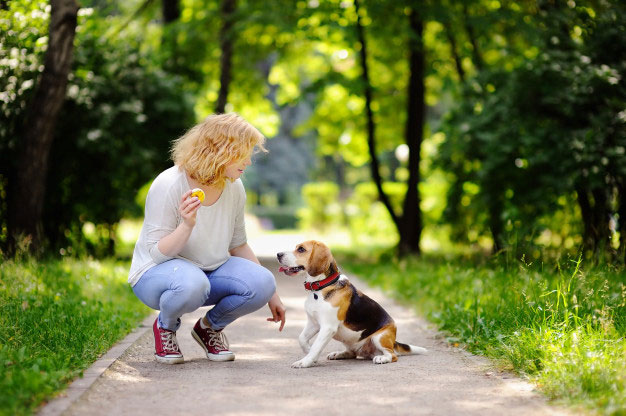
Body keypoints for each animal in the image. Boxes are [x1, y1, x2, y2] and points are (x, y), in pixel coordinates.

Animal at [276, 240, 424, 368]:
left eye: (301, 249)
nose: (278, 254)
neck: (321, 287)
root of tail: (394, 341)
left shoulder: (327, 327)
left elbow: (316, 346)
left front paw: (305, 361)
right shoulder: (314, 323)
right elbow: (301, 339)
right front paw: (309, 352)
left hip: (380, 337)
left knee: (393, 355)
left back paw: (382, 358)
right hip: (349, 341)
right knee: (353, 353)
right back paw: (338, 354)